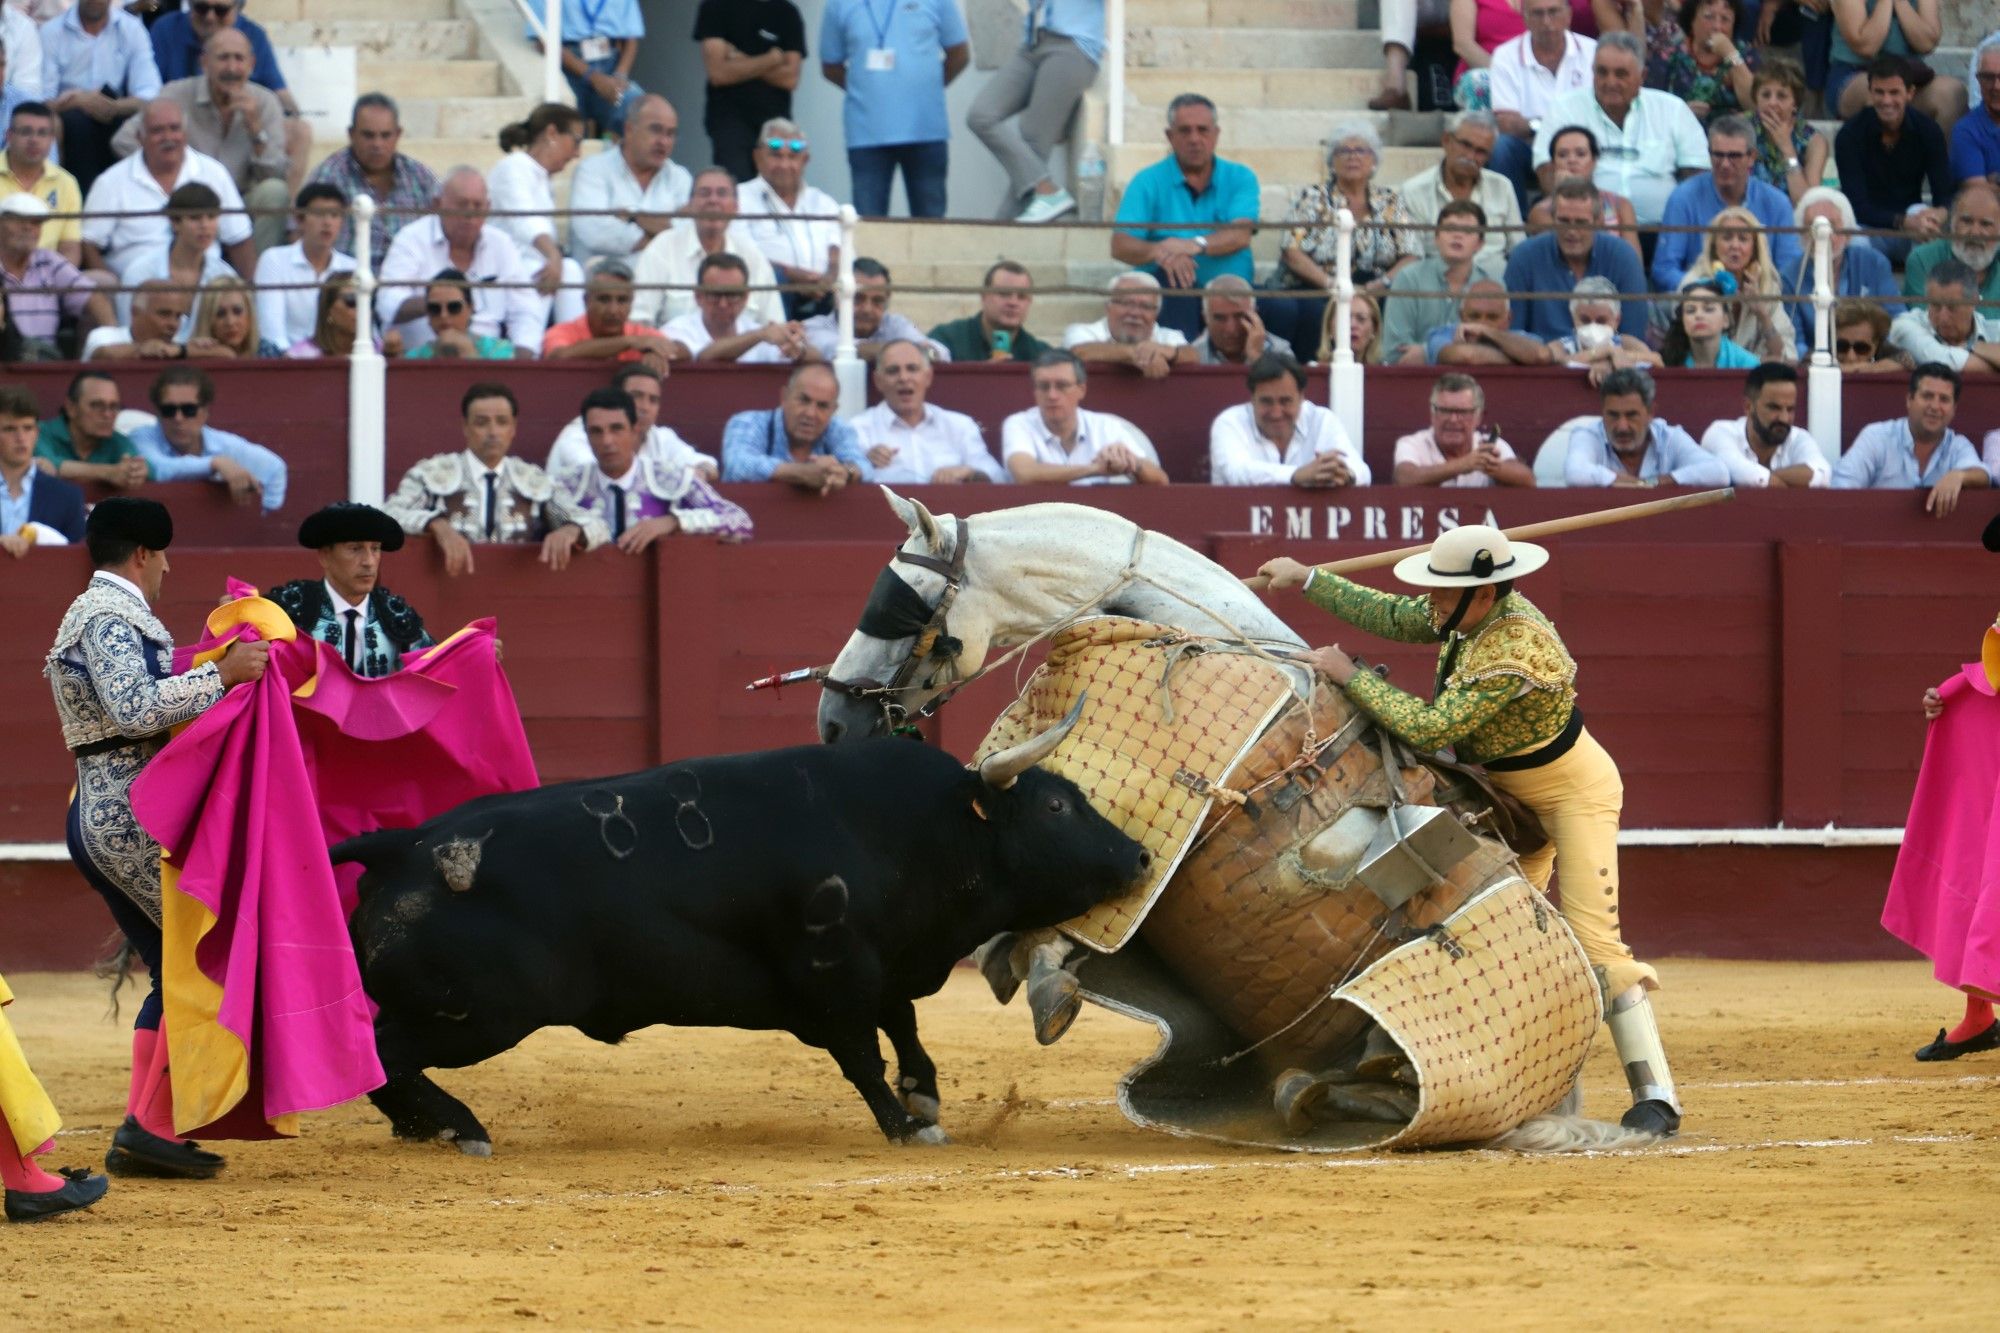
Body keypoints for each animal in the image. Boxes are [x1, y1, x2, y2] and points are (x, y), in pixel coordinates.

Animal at [324, 732, 1144, 1144]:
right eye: (1055, 807)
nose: (1137, 856)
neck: (913, 827)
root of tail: (402, 846)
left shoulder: (881, 965)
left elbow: (905, 1026)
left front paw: (926, 1098)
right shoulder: (831, 974)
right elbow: (862, 1054)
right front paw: (903, 1125)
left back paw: (425, 1128)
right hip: (479, 1014)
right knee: (388, 1053)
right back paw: (458, 1126)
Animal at [824, 488, 1656, 1152]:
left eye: (899, 604)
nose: (832, 718)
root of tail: (1563, 1099)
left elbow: (1057, 920)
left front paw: (1048, 987)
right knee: (1367, 1085)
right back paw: (1302, 1091)